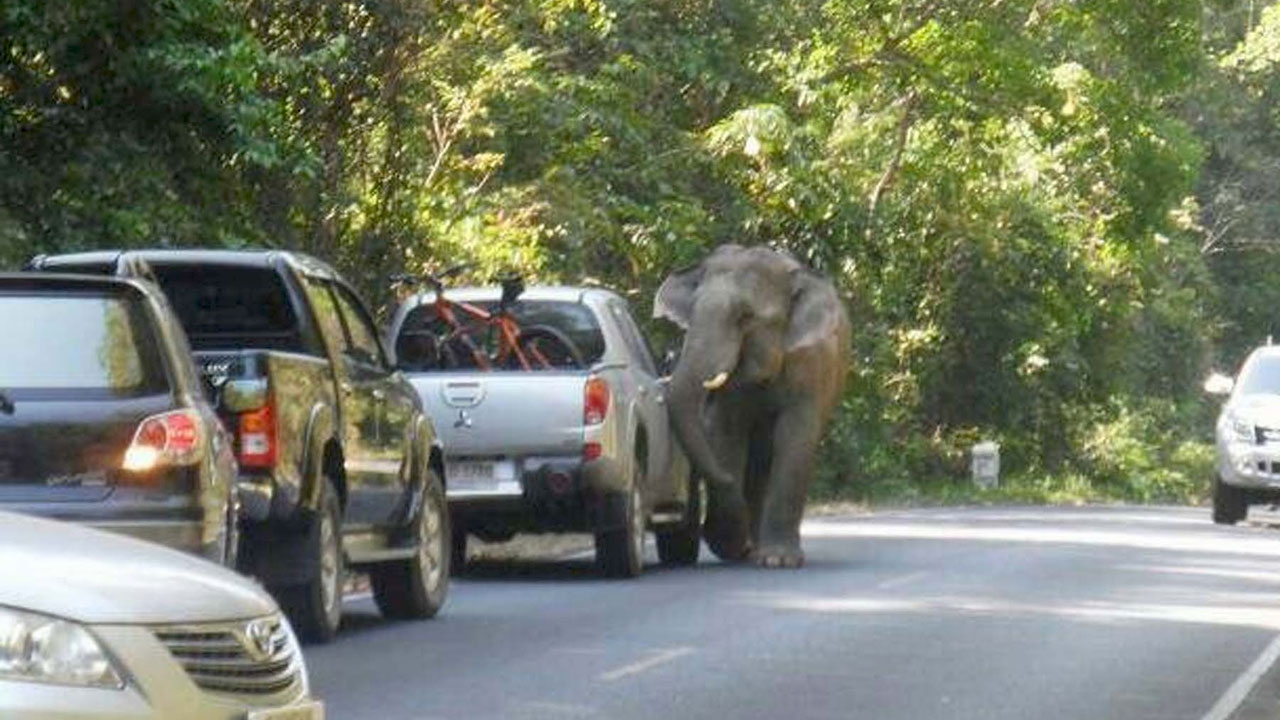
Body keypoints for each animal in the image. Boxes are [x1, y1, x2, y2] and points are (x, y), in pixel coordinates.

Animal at [655, 244, 855, 566]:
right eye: (692, 311)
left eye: (745, 316)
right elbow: (727, 432)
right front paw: (734, 546)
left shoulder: (812, 365)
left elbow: (795, 437)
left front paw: (779, 561)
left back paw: (759, 549)